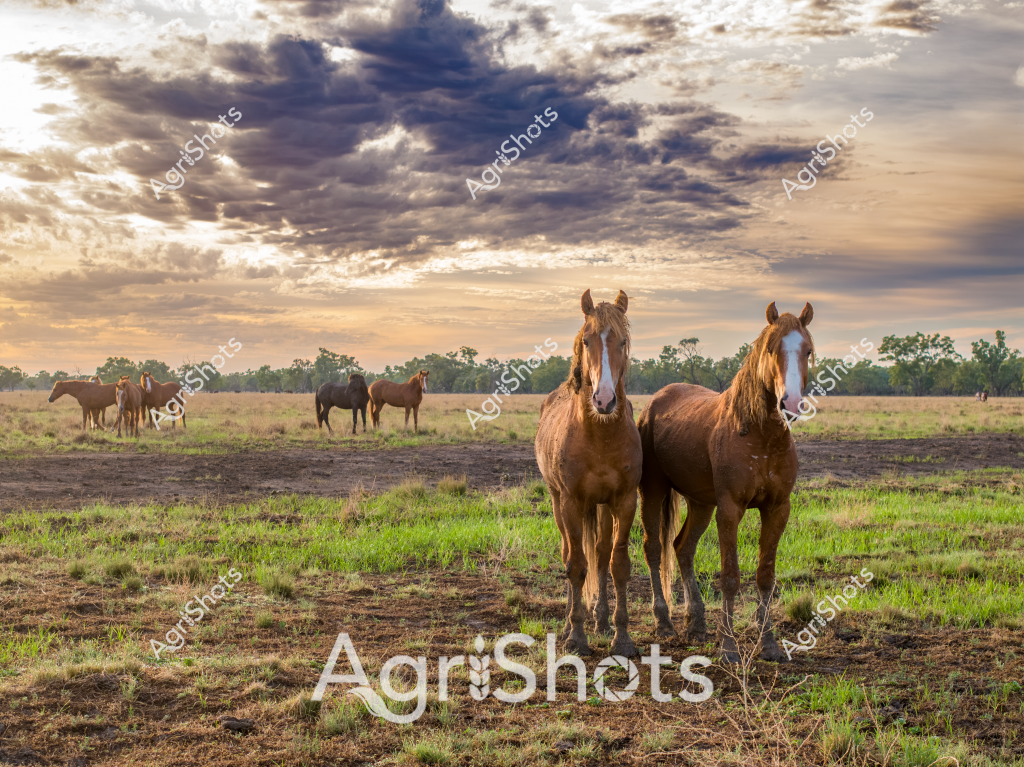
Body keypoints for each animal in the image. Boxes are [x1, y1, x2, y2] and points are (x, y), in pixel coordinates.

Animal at [535, 289, 642, 657]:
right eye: (586, 340)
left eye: (622, 341)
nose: (604, 400)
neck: (600, 435)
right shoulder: (571, 502)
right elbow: (577, 566)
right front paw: (577, 637)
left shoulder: (624, 501)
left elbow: (616, 565)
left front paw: (621, 637)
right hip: (560, 504)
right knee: (570, 554)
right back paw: (571, 622)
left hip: (602, 508)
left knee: (599, 554)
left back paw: (602, 619)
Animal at [637, 301, 814, 664]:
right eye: (771, 349)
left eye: (807, 350)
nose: (789, 403)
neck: (761, 436)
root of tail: (656, 400)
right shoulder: (730, 509)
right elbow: (730, 576)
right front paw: (729, 646)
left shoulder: (777, 509)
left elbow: (765, 576)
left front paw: (769, 643)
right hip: (653, 491)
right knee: (654, 548)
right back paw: (664, 622)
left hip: (701, 503)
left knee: (682, 548)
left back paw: (696, 622)